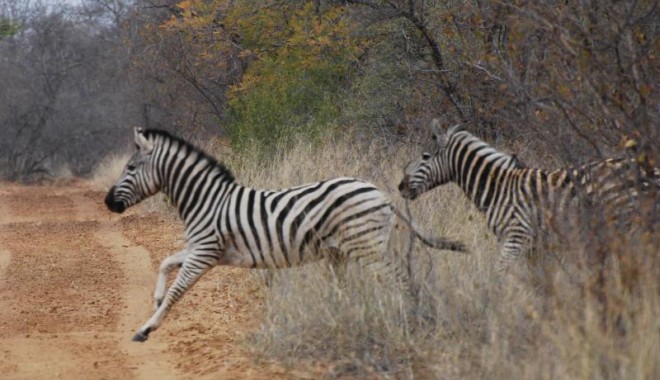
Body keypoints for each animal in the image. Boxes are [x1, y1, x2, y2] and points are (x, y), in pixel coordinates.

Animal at [105, 127, 466, 342]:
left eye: (131, 168)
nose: (108, 202)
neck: (206, 200)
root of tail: (381, 194)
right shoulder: (202, 250)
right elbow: (166, 262)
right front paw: (154, 299)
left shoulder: (205, 252)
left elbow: (177, 291)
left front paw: (146, 328)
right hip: (345, 251)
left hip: (368, 249)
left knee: (400, 281)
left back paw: (407, 320)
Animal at [400, 120, 656, 272]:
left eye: (425, 157)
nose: (400, 186)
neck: (498, 188)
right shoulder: (535, 247)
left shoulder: (515, 237)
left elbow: (500, 277)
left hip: (626, 225)